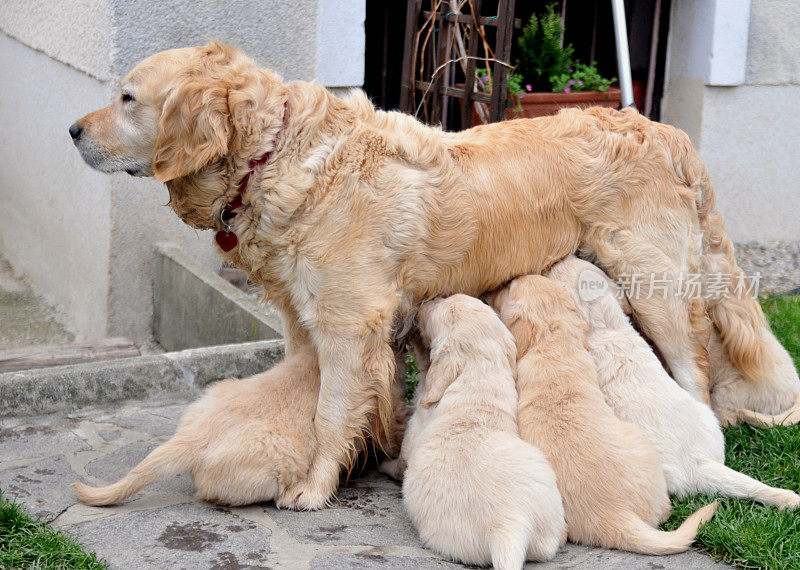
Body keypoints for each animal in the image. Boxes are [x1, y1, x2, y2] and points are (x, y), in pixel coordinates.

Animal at [392, 296, 564, 564]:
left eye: (441, 309)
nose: (431, 298)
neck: (480, 372)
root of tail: (509, 525)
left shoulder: (416, 426)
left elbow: (401, 458)